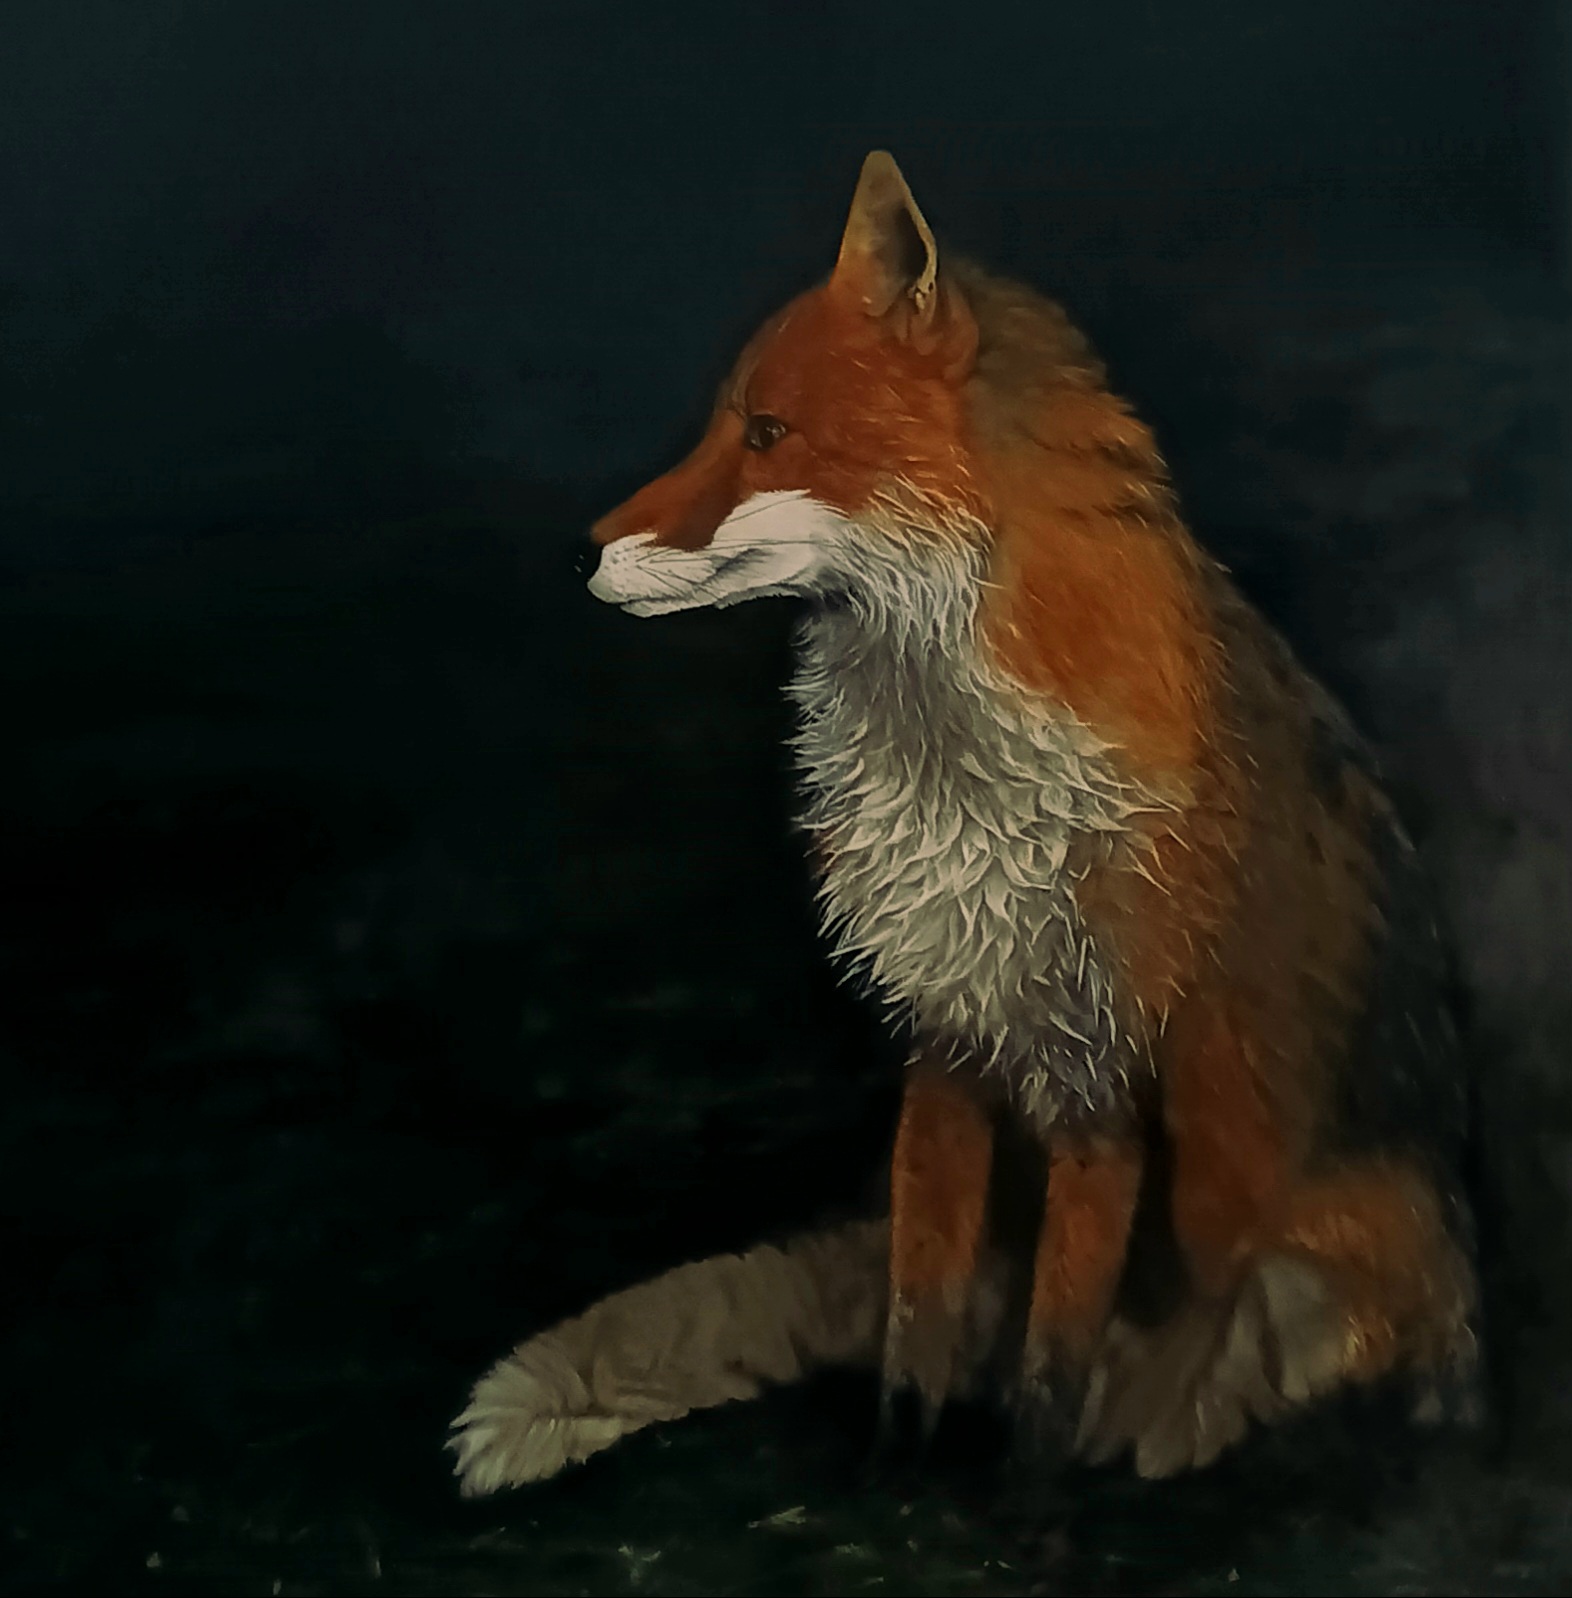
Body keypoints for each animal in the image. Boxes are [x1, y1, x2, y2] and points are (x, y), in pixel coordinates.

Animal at [450, 152, 1481, 1496]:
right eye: (723, 424)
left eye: (766, 433)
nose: (577, 556)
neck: (952, 771)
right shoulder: (942, 1044)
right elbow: (914, 1318)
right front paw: (897, 1464)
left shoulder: (1101, 1088)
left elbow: (1052, 1366)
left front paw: (1021, 1497)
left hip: (1294, 1266)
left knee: (1209, 1372)